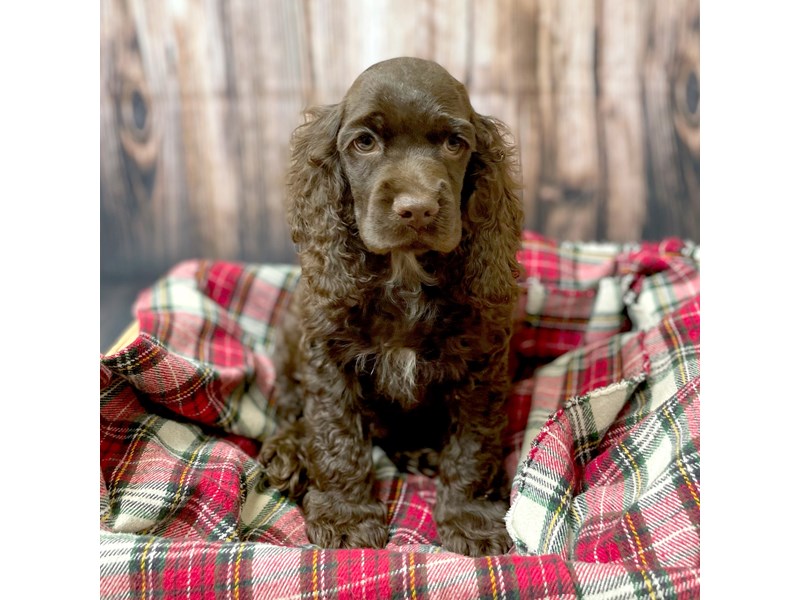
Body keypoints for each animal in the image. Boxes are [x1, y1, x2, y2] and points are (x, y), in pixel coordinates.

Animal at [260, 57, 524, 556]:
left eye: (454, 143)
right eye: (365, 142)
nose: (417, 209)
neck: (404, 274)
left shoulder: (482, 363)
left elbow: (473, 446)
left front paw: (471, 519)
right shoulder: (327, 355)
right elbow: (336, 437)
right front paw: (345, 518)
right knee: (289, 409)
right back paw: (287, 454)